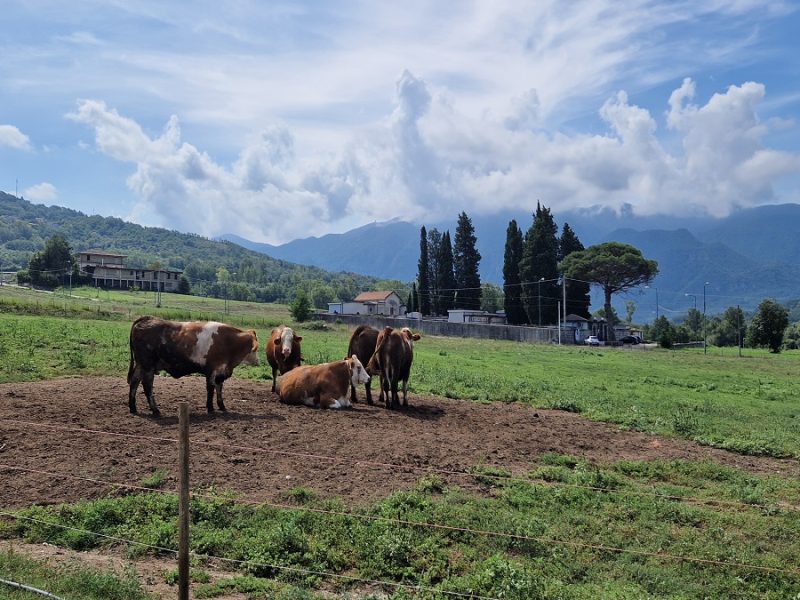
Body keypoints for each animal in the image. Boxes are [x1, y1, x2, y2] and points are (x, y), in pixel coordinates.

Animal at [127, 314, 260, 418]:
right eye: (255, 349)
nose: (258, 361)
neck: (228, 341)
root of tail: (148, 318)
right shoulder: (211, 370)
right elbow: (211, 389)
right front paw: (210, 409)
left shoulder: (220, 372)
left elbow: (219, 389)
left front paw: (222, 407)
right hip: (148, 366)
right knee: (147, 386)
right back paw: (155, 410)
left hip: (140, 365)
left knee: (134, 382)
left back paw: (133, 408)